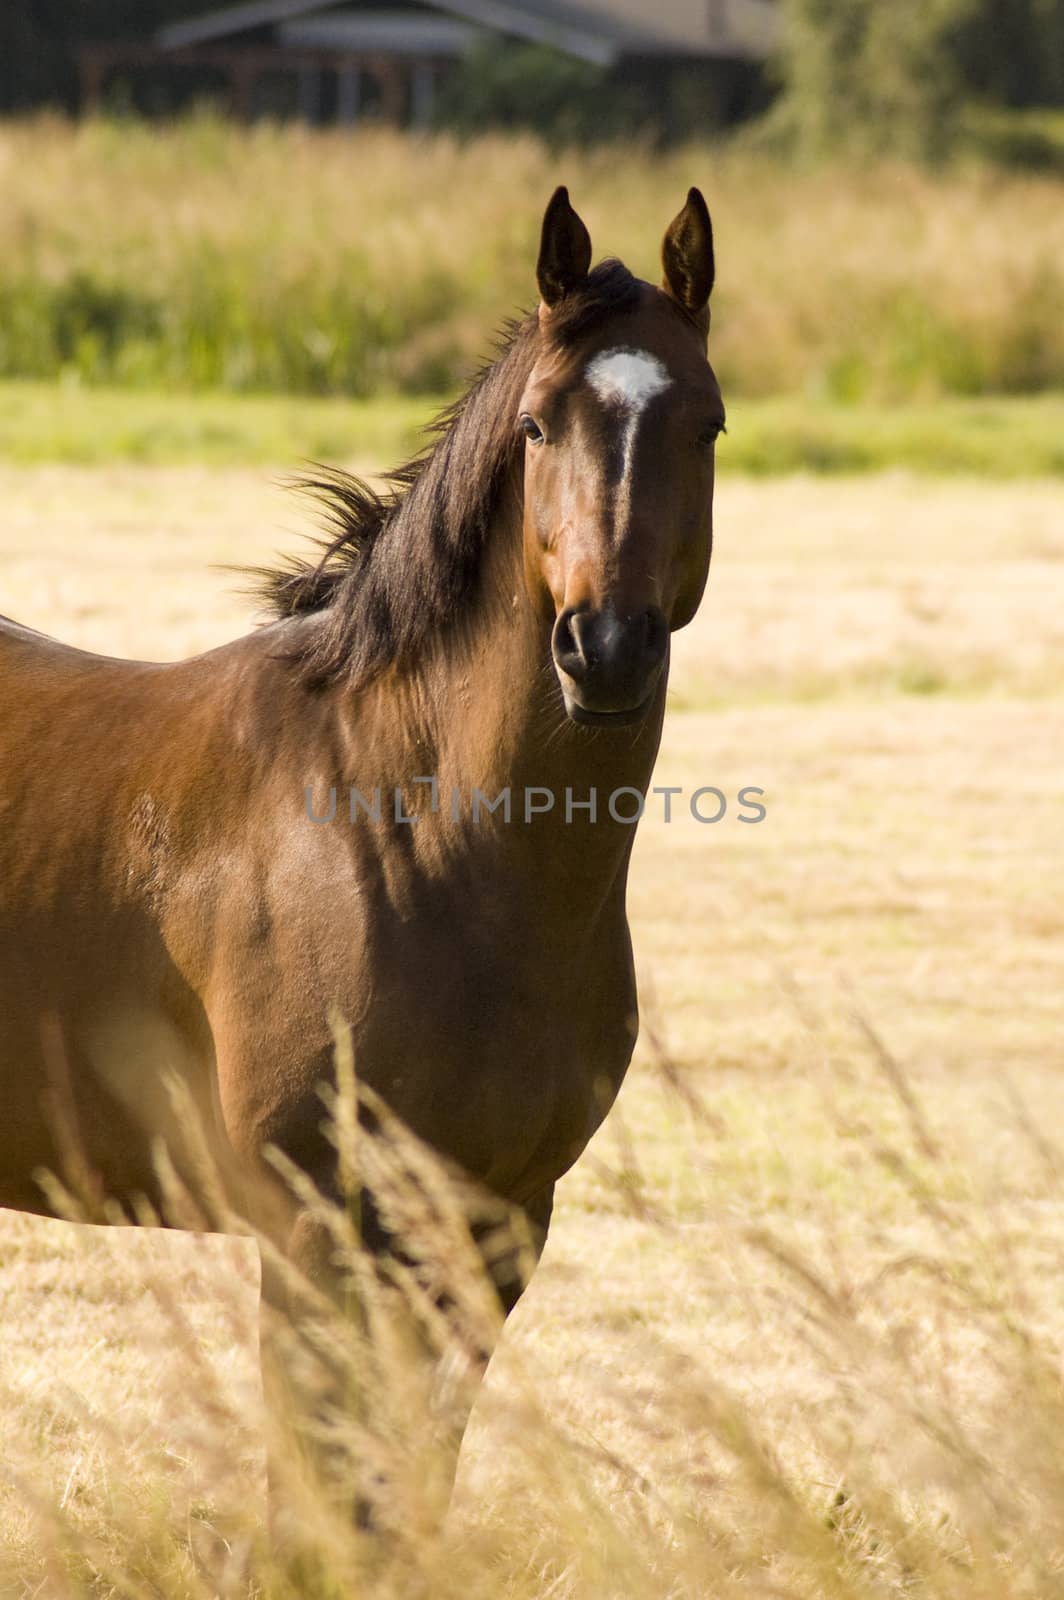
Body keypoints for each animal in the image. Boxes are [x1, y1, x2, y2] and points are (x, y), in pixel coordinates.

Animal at [0, 190, 723, 1510]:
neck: (413, 840)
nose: (603, 649)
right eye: (537, 424)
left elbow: (402, 1495)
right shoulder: (314, 1230)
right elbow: (319, 1498)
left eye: (707, 422)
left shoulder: (493, 1231)